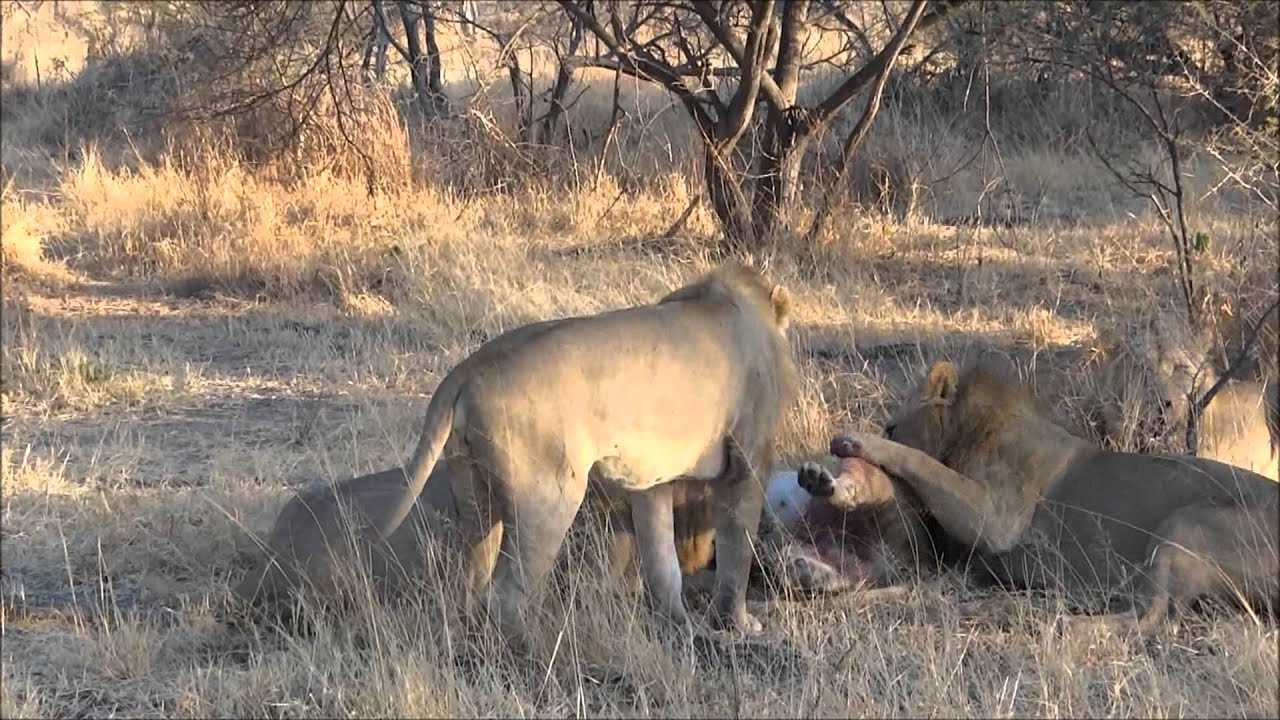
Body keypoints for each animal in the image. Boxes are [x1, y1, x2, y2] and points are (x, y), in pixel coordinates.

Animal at [373, 262, 796, 654]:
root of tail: (467, 369)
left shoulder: (653, 482)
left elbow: (662, 562)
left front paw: (678, 622)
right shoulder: (748, 461)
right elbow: (737, 548)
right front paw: (736, 624)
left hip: (472, 489)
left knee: (471, 579)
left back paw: (466, 641)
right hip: (550, 495)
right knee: (506, 593)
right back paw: (539, 651)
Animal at [816, 357, 1279, 634]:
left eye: (892, 427)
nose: (882, 429)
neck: (972, 430)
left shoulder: (995, 517)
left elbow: (922, 462)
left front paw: (855, 441)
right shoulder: (961, 561)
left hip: (1185, 523)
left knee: (1152, 617)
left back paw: (1046, 621)